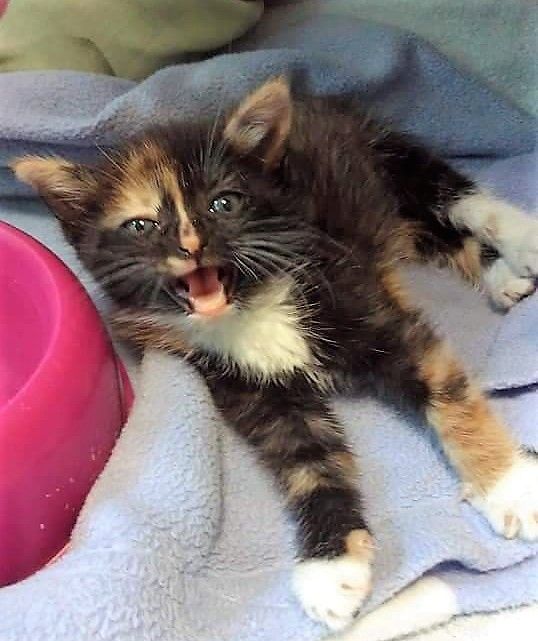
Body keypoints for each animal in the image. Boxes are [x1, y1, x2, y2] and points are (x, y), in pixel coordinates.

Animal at [13, 77, 538, 631]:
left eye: (223, 203)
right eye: (140, 226)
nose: (191, 244)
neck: (251, 307)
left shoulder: (378, 318)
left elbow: (448, 398)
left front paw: (508, 485)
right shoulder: (253, 394)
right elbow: (308, 464)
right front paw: (332, 561)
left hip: (386, 151)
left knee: (461, 201)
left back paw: (522, 243)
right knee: (438, 234)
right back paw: (500, 276)